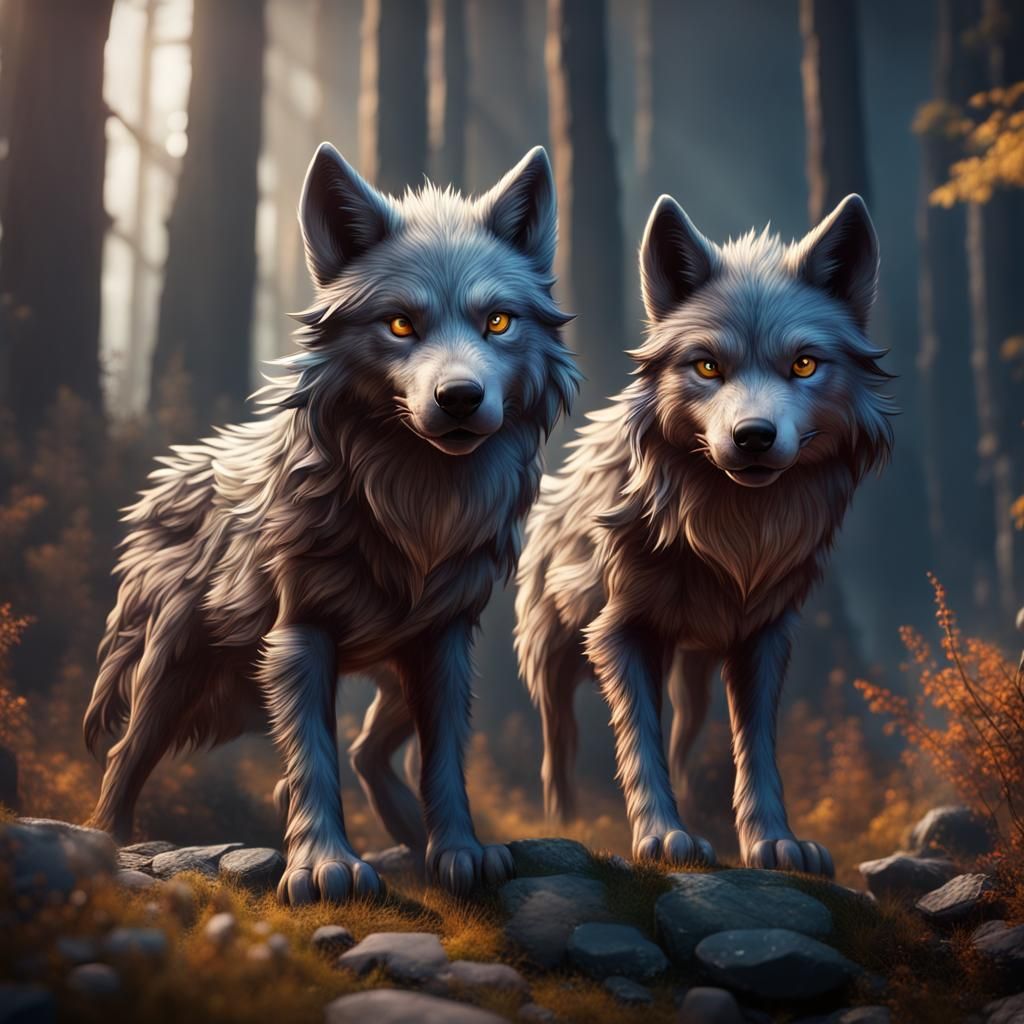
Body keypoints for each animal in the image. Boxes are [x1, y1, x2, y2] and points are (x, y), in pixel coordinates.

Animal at [84, 143, 579, 903]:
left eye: (498, 322)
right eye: (401, 324)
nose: (460, 398)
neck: (417, 506)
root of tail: (167, 479)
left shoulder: (444, 644)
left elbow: (443, 760)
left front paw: (459, 850)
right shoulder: (299, 638)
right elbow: (313, 759)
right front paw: (324, 865)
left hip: (400, 675)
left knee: (368, 750)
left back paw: (410, 833)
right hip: (174, 675)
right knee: (126, 753)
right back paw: (108, 839)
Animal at [515, 192, 893, 875]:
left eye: (804, 364)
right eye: (708, 367)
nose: (753, 437)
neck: (733, 534)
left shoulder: (764, 638)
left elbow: (757, 750)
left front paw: (775, 842)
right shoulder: (617, 633)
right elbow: (638, 743)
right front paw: (664, 837)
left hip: (691, 671)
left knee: (684, 737)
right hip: (552, 657)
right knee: (560, 742)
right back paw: (563, 819)